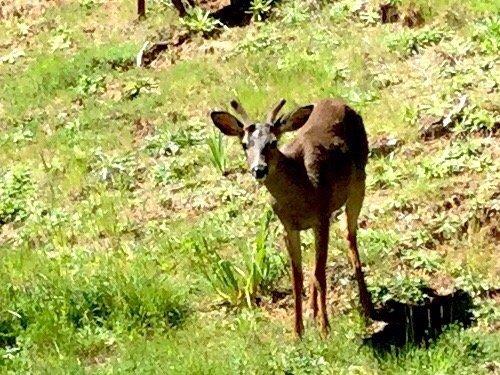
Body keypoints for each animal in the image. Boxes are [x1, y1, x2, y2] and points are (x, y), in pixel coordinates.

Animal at [209, 97, 374, 338]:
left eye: (272, 142)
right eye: (244, 144)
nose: (259, 169)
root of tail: (338, 101)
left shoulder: (321, 218)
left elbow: (320, 275)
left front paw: (325, 329)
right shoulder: (289, 227)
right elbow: (297, 279)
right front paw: (298, 331)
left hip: (359, 182)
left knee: (350, 238)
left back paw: (366, 306)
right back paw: (313, 310)